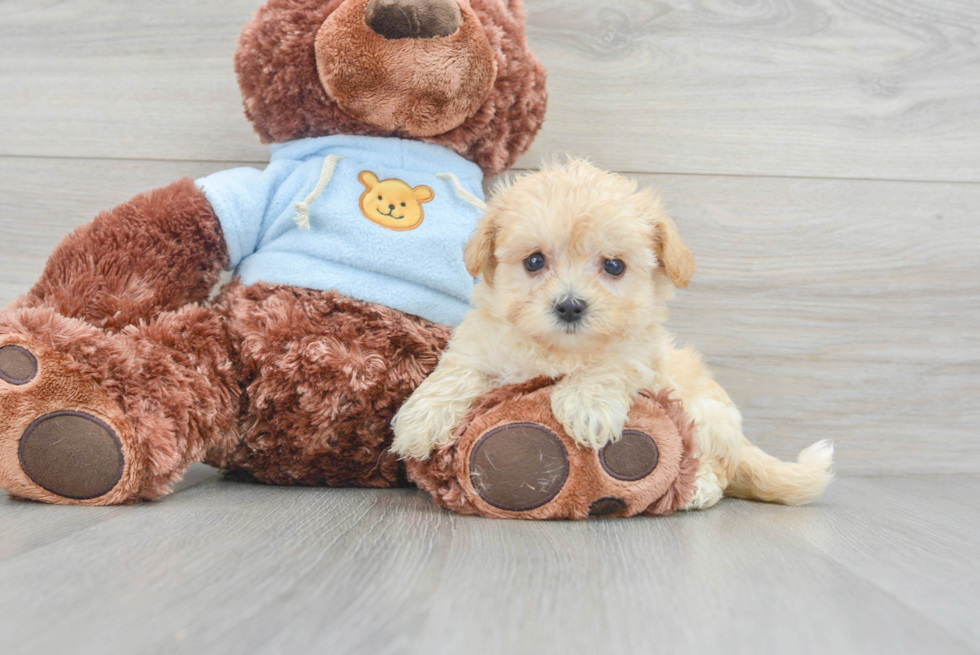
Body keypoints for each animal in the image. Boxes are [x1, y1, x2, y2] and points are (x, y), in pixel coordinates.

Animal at [390, 159, 836, 508]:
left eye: (615, 266)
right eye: (534, 261)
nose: (570, 306)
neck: (559, 351)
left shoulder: (640, 354)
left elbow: (611, 364)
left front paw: (586, 407)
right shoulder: (481, 345)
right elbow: (457, 372)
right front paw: (420, 420)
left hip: (705, 417)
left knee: (715, 467)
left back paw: (698, 488)